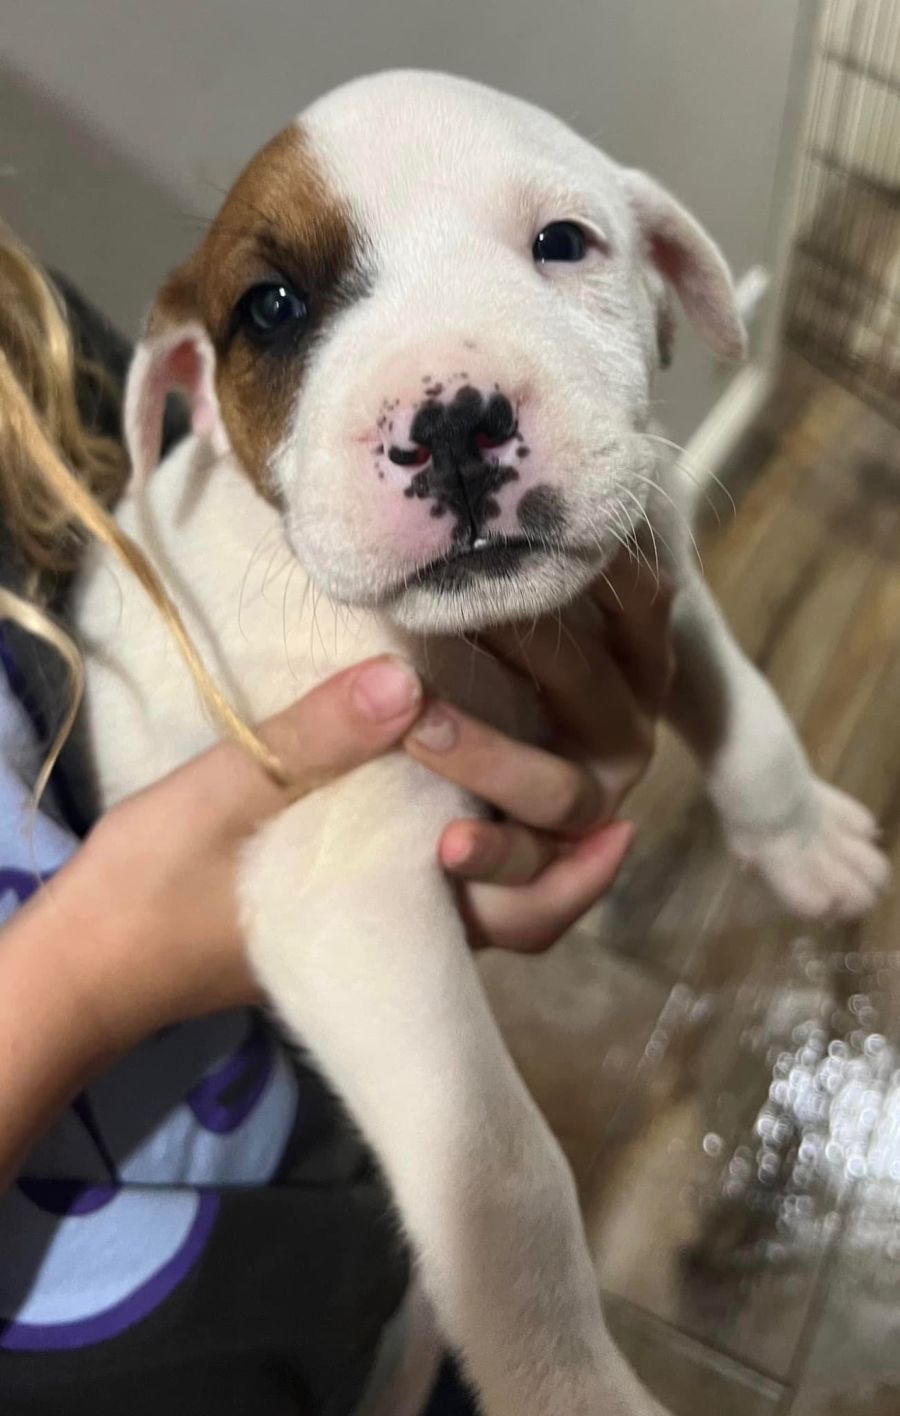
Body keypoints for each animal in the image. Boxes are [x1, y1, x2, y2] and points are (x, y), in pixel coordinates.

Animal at [74, 70, 889, 1416]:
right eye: (272, 308)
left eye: (564, 242)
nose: (455, 423)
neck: (488, 639)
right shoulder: (347, 894)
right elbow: (502, 1177)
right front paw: (572, 1384)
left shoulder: (650, 577)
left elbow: (749, 711)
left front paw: (804, 837)